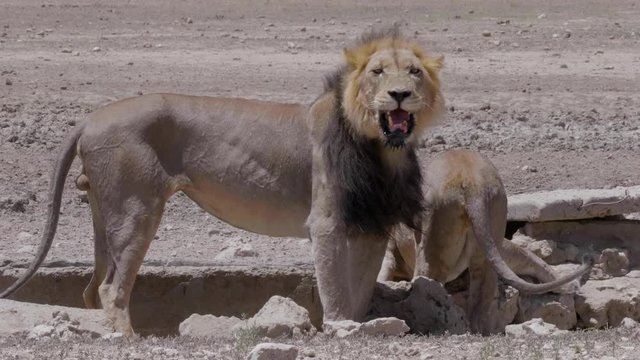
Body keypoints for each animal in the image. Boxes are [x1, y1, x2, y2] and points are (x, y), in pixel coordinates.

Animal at [1, 27, 444, 334]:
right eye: (378, 72)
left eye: (415, 73)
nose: (400, 94)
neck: (382, 150)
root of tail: (90, 117)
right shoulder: (328, 224)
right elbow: (335, 292)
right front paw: (339, 331)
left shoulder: (372, 226)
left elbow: (358, 293)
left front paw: (357, 326)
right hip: (136, 210)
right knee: (112, 288)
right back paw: (128, 340)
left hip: (103, 212)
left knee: (93, 287)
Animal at [378, 150, 592, 334]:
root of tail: (471, 180)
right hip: (491, 230)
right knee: (484, 292)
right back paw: (477, 330)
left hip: (433, 241)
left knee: (428, 284)